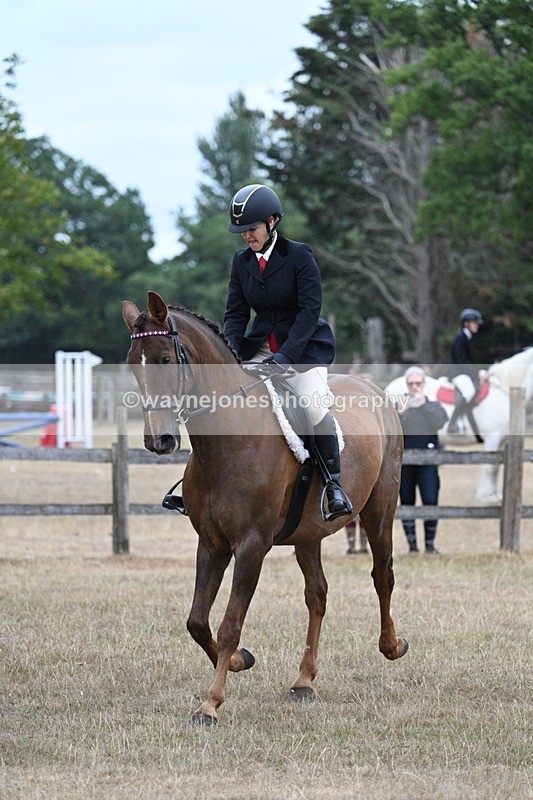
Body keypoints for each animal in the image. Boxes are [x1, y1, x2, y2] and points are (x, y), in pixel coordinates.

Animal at [123, 291, 408, 725]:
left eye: (166, 359)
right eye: (132, 363)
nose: (160, 441)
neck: (227, 441)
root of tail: (372, 388)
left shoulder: (251, 546)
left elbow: (229, 623)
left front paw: (211, 704)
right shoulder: (211, 544)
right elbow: (197, 621)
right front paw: (239, 661)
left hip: (380, 510)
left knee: (382, 575)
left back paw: (392, 645)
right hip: (308, 534)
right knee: (317, 595)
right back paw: (303, 680)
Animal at [385, 348, 533, 503]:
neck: (504, 391)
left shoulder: (502, 440)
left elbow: (496, 466)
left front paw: (495, 495)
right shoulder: (493, 438)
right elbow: (489, 468)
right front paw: (485, 496)